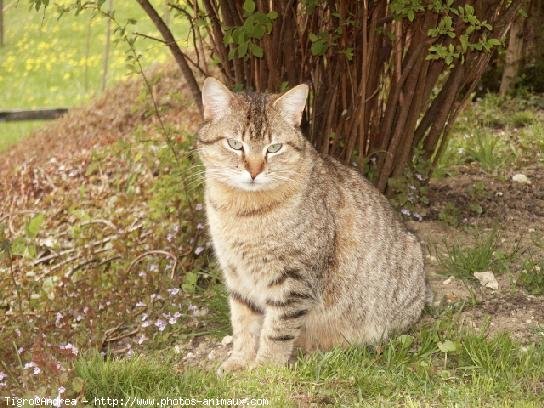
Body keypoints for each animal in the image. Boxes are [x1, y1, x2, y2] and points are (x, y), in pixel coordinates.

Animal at [198, 78, 428, 374]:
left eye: (274, 148)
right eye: (235, 144)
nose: (254, 171)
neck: (243, 210)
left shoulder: (293, 280)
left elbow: (276, 331)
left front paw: (264, 370)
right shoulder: (237, 275)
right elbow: (243, 325)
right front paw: (239, 361)